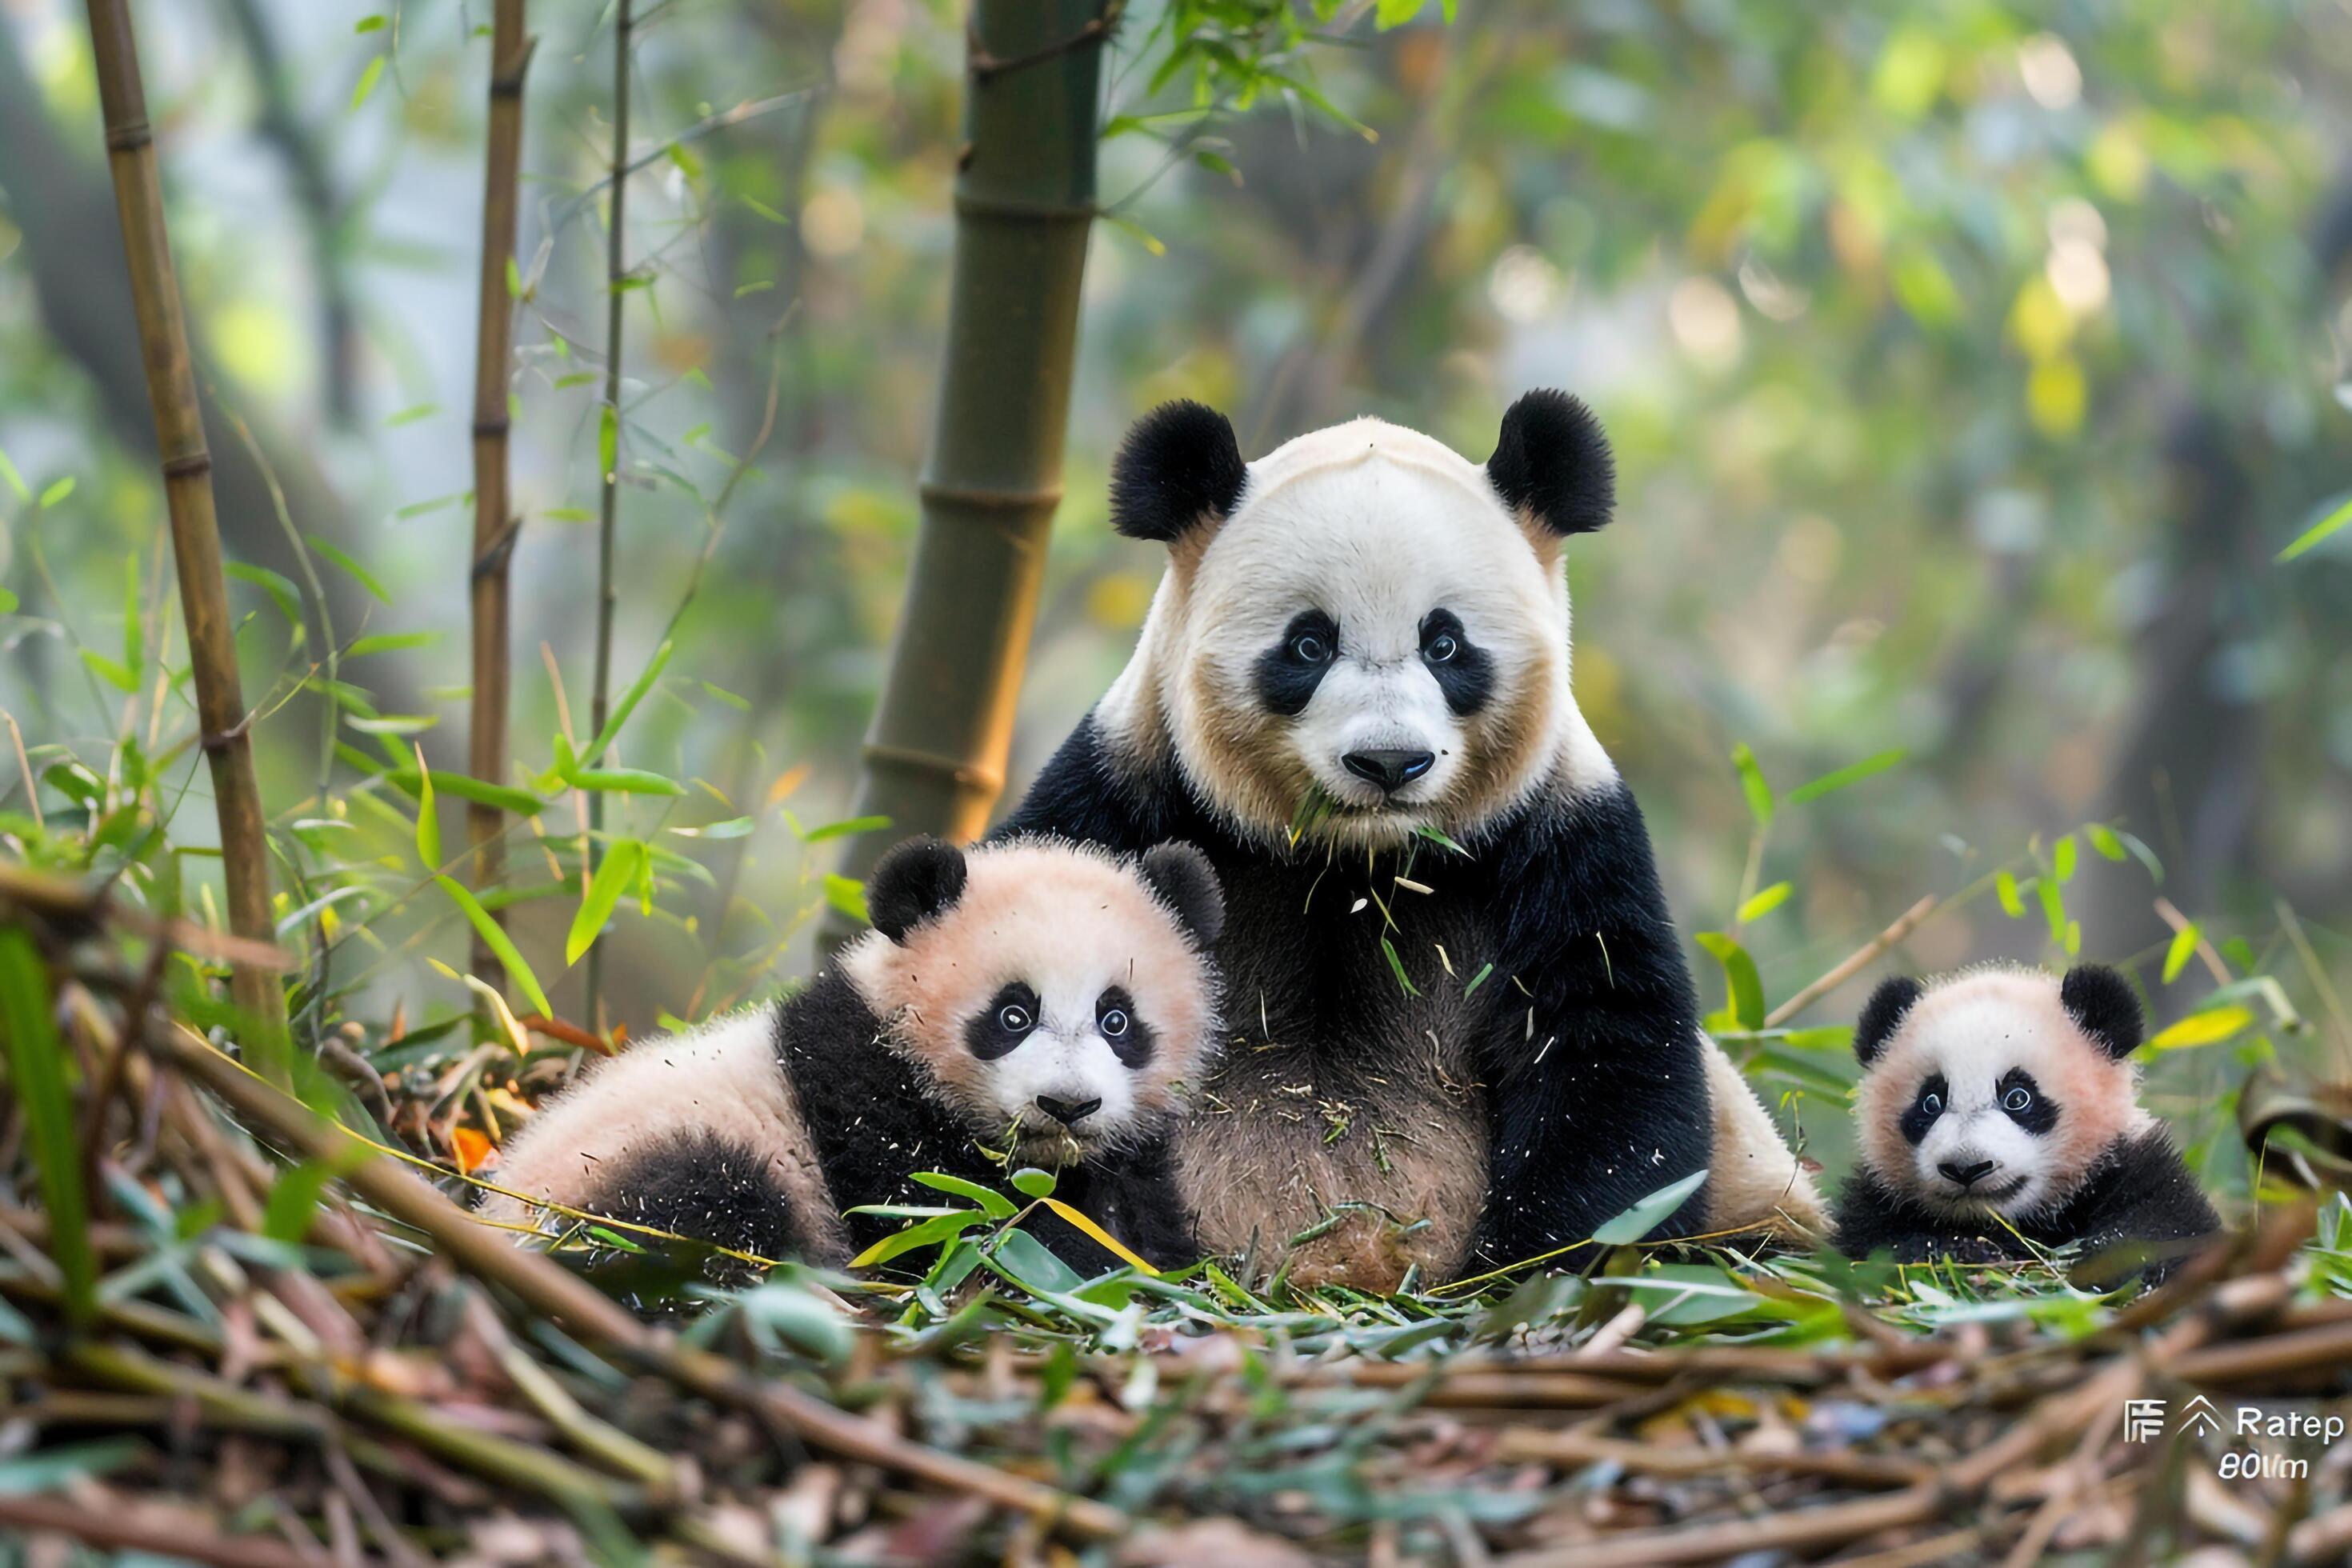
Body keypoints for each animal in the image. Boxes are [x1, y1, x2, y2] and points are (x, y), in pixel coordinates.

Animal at [992, 392, 1815, 1288]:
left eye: (1445, 643)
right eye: (1309, 643)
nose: (1389, 761)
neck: (1361, 861)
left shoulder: (1564, 841)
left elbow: (1608, 1051)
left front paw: (1528, 1271)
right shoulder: (1127, 798)